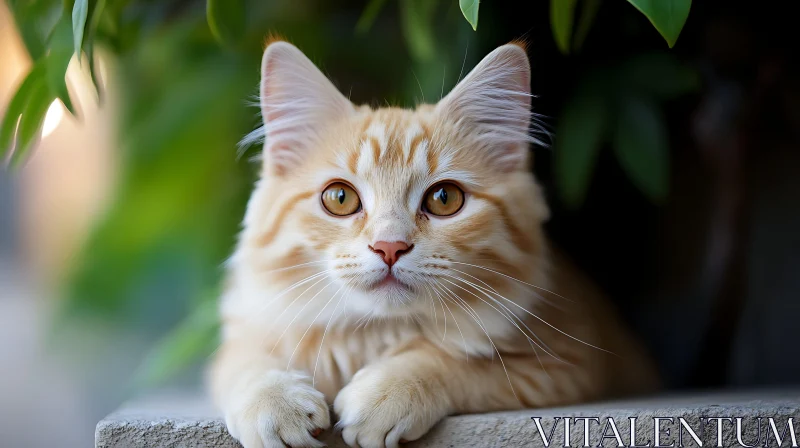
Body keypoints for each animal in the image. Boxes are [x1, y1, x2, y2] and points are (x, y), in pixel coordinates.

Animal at [209, 39, 660, 448]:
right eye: (340, 198)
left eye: (445, 199)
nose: (389, 247)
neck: (376, 336)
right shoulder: (245, 337)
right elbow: (247, 365)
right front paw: (275, 403)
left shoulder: (566, 364)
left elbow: (449, 362)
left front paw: (386, 393)